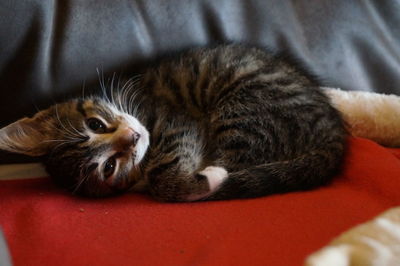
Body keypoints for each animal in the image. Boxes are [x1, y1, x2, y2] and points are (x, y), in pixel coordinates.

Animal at [0, 44, 346, 201]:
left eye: (96, 124)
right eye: (109, 167)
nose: (134, 138)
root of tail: (333, 127)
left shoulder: (176, 120)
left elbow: (164, 175)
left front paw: (198, 181)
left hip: (247, 107)